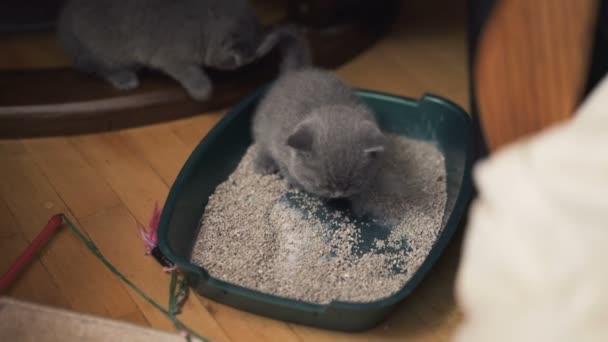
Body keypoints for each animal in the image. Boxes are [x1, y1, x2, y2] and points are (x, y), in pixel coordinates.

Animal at [57, 0, 312, 100]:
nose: (249, 61)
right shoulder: (171, 58)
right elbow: (189, 72)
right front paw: (203, 89)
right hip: (98, 53)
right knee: (101, 69)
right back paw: (125, 78)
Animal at [252, 67, 384, 199]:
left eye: (352, 184)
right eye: (323, 185)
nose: (339, 193)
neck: (326, 105)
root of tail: (295, 71)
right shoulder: (279, 144)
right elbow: (285, 168)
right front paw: (294, 183)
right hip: (263, 125)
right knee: (262, 144)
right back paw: (263, 164)